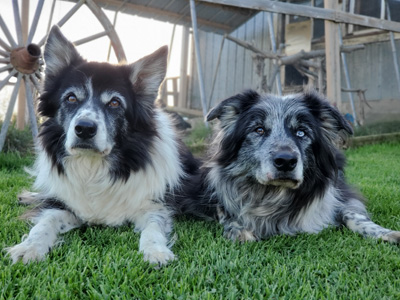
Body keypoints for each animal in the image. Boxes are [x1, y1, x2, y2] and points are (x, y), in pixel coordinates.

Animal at [6, 25, 198, 264]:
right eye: (71, 98)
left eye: (114, 102)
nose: (84, 129)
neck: (92, 166)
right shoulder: (62, 205)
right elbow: (44, 223)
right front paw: (29, 247)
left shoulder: (153, 205)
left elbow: (153, 228)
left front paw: (156, 251)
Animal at [189, 91, 400, 244]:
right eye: (259, 130)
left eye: (301, 132)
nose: (285, 161)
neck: (273, 193)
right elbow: (225, 211)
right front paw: (239, 229)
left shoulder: (340, 193)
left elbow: (352, 213)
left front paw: (384, 232)